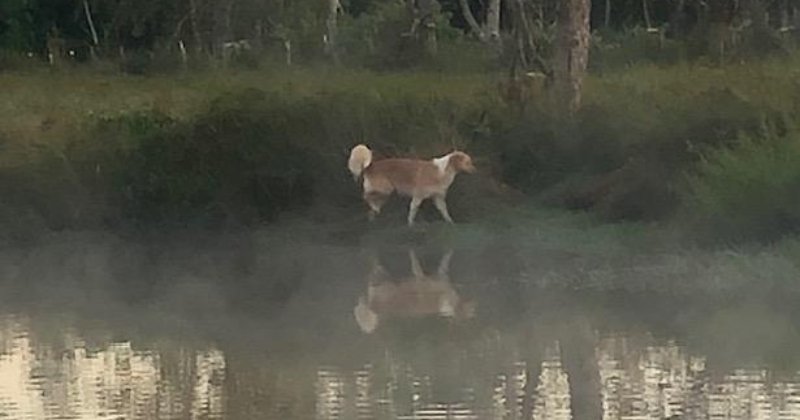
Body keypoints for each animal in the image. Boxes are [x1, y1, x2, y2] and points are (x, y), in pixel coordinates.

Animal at [346, 144, 476, 226]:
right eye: (467, 162)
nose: (475, 170)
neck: (443, 171)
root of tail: (369, 167)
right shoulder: (418, 196)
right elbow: (412, 211)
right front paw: (410, 225)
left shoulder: (438, 198)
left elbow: (445, 212)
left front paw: (451, 223)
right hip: (385, 189)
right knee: (366, 197)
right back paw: (373, 209)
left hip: (384, 194)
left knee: (371, 207)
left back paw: (374, 217)